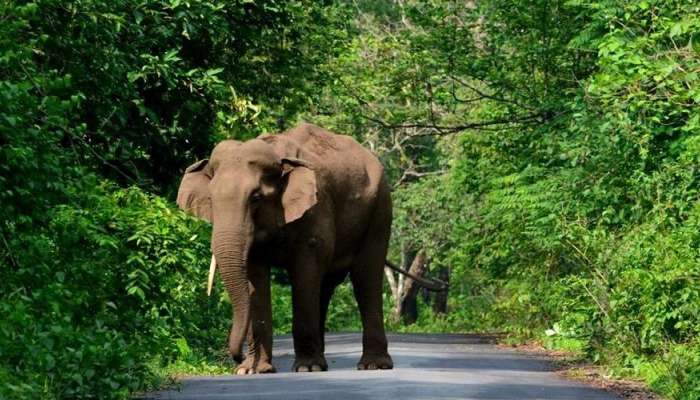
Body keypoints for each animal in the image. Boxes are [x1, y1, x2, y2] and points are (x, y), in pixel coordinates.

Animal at [175, 123, 394, 374]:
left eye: (256, 197)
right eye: (211, 199)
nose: (238, 358)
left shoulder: (315, 210)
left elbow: (305, 274)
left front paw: (306, 368)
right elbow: (255, 278)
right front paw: (253, 370)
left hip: (380, 210)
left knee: (366, 277)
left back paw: (372, 365)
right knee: (326, 286)